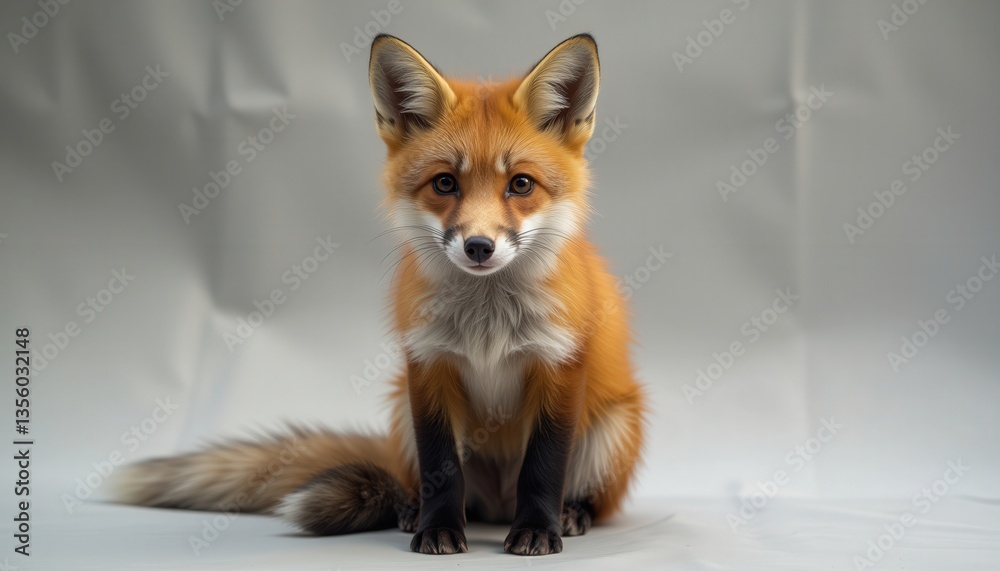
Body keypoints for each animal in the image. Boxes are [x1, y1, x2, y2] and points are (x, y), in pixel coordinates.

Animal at [115, 33, 647, 556]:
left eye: (520, 184)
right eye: (445, 183)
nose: (478, 246)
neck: (487, 321)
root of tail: (497, 507)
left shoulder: (558, 366)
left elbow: (543, 467)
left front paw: (537, 530)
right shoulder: (428, 366)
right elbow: (441, 470)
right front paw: (437, 530)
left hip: (613, 427)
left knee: (582, 495)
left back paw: (571, 513)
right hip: (400, 413)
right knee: (433, 489)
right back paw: (414, 510)